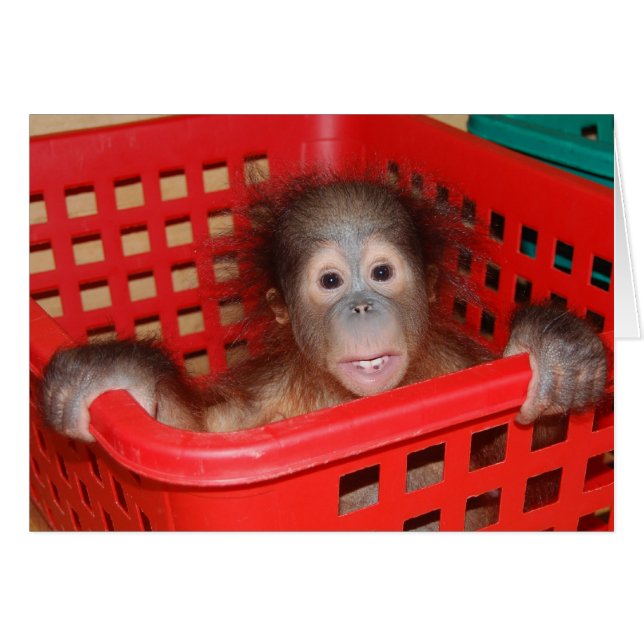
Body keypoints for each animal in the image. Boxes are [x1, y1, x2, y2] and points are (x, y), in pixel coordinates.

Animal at [39, 170, 608, 525]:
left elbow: (530, 473)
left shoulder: (460, 369)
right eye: (331, 281)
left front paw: (556, 351)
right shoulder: (265, 405)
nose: (361, 306)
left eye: (381, 273)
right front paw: (110, 375)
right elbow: (197, 433)